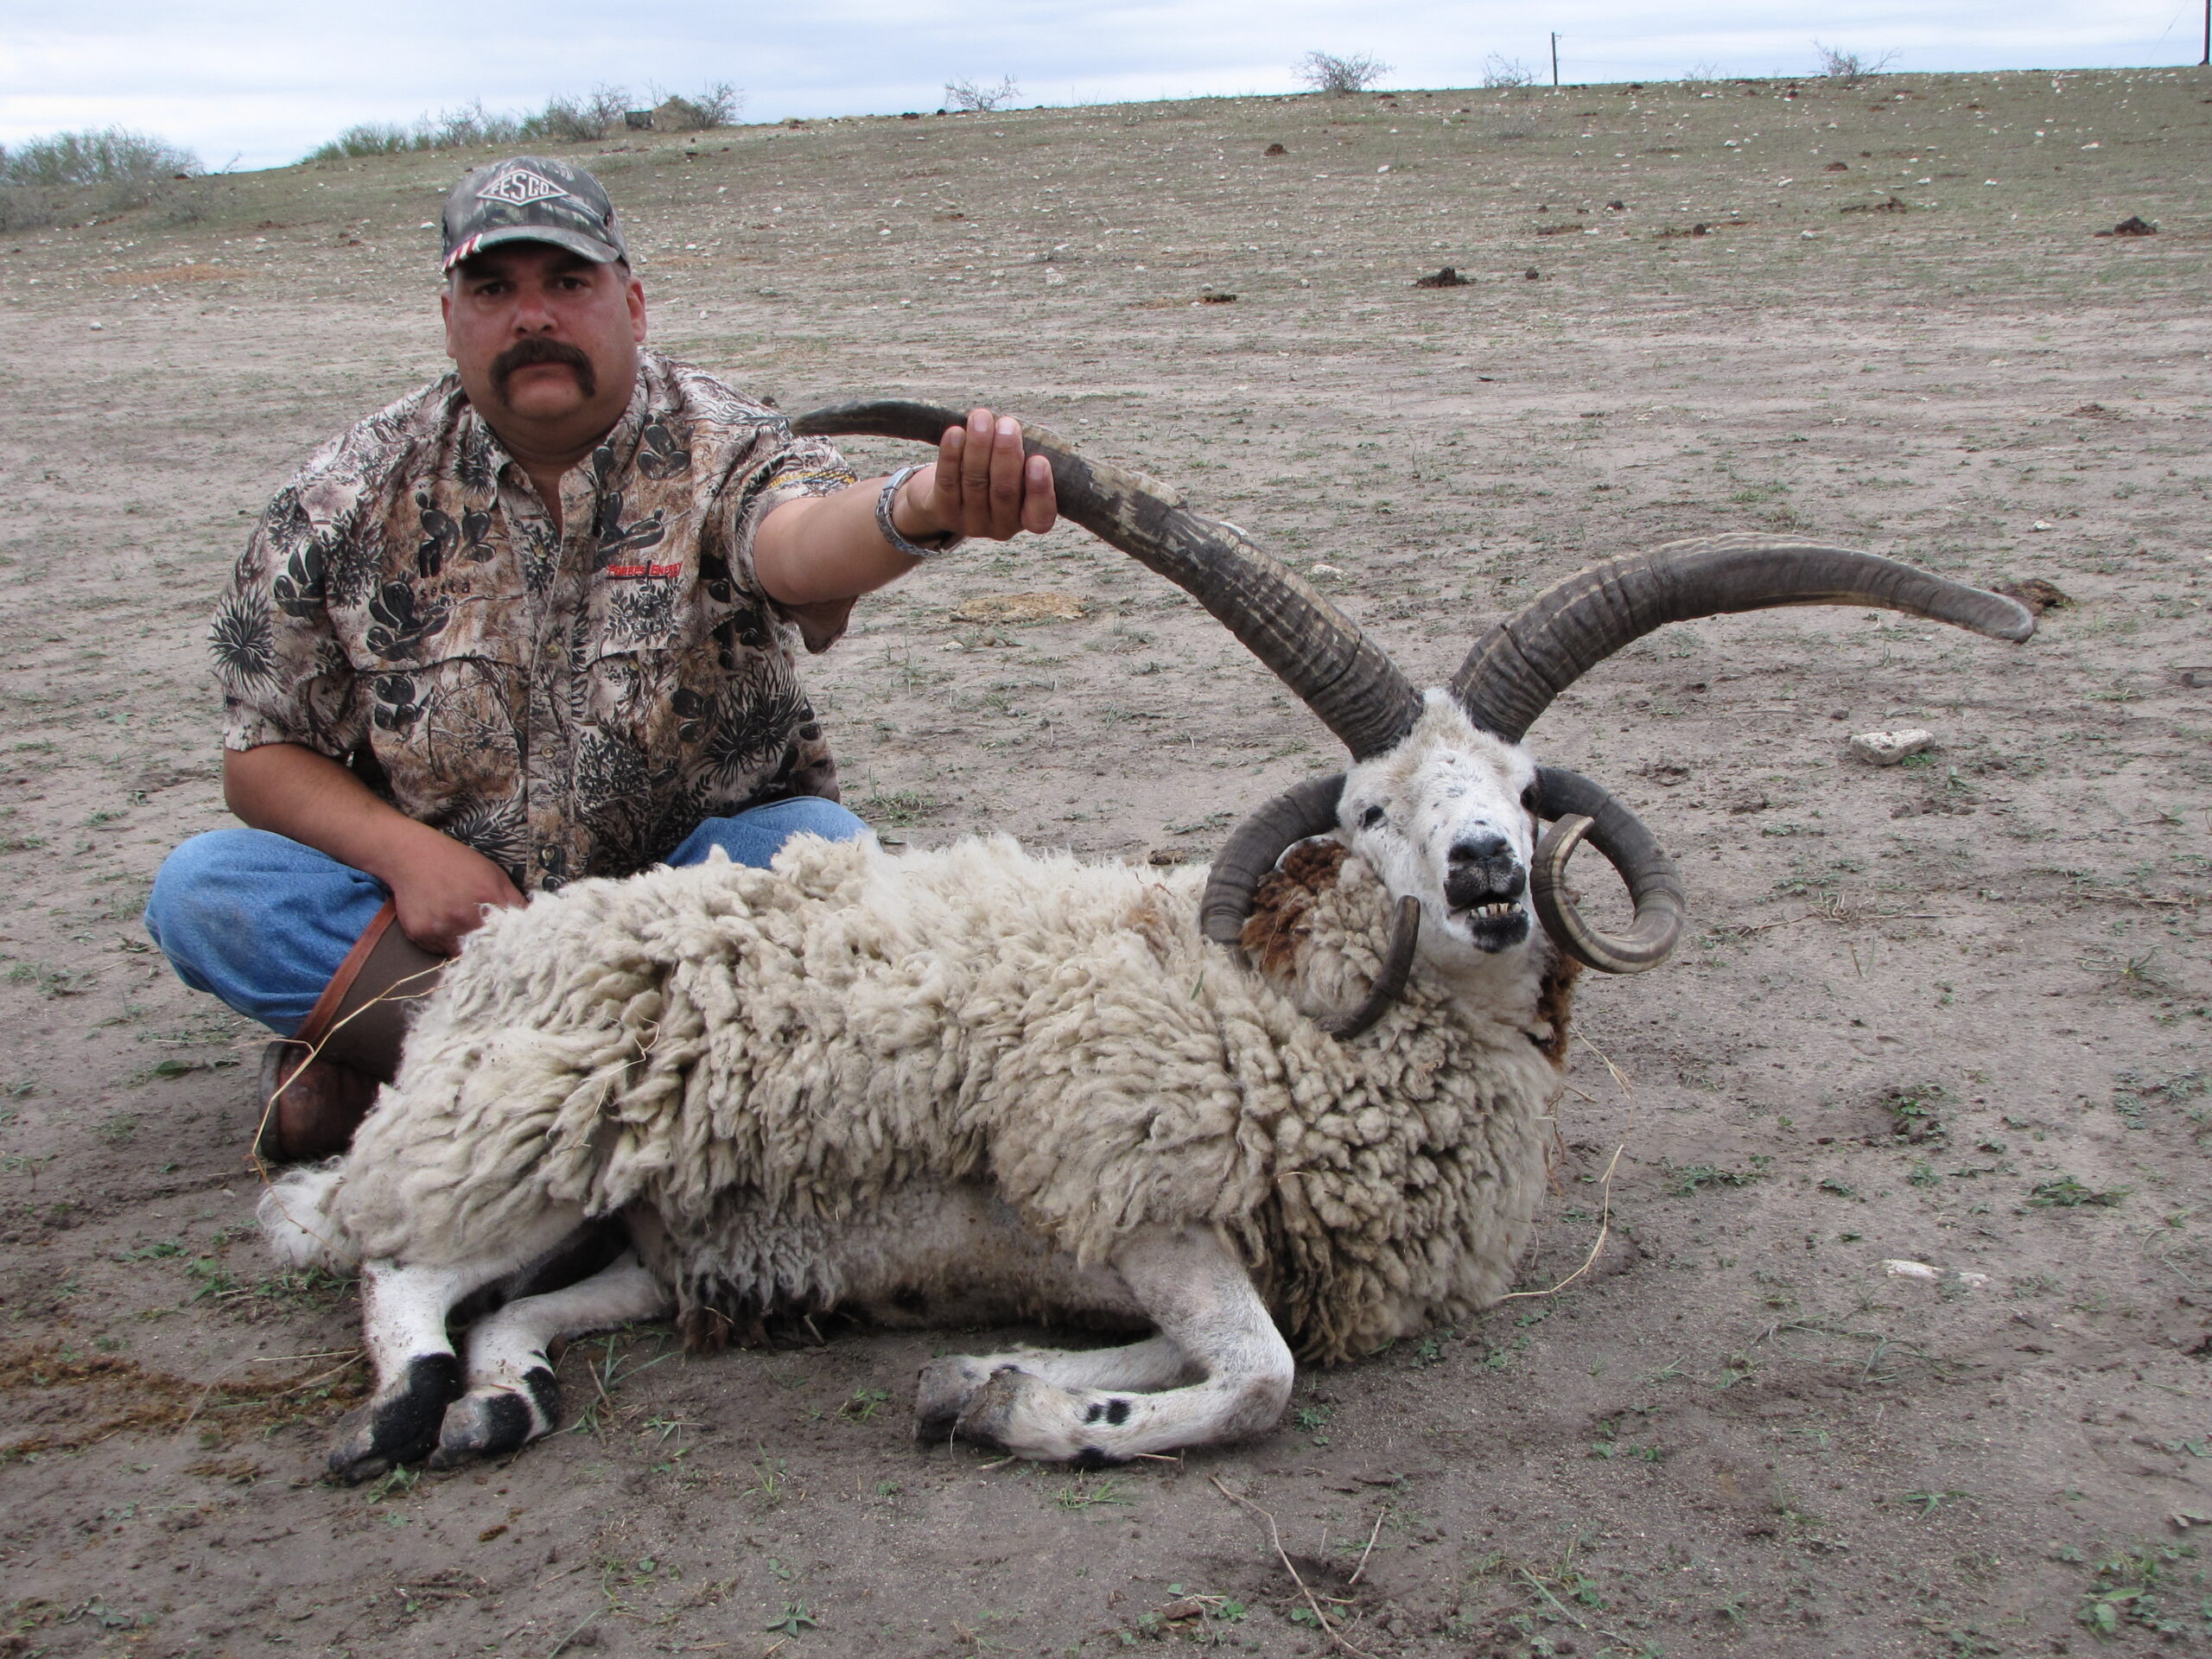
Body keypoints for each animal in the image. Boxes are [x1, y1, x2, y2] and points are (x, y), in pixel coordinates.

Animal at [263, 402, 2035, 1478]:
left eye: (1529, 795)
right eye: (1370, 811)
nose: (1486, 879)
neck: (1295, 1012)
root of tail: (501, 954)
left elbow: (1233, 1350)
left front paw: (1003, 1375)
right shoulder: (1134, 1191)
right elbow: (1258, 1378)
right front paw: (1037, 1411)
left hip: (636, 1231)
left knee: (515, 1308)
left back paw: (509, 1400)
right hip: (533, 1141)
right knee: (388, 1261)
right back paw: (407, 1416)